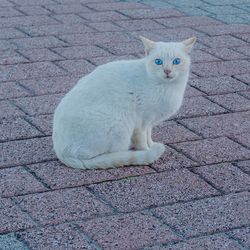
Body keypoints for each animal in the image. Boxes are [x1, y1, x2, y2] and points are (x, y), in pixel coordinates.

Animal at [52, 36, 196, 170]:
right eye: (158, 62)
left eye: (176, 61)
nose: (167, 71)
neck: (168, 88)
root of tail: (60, 152)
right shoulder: (141, 122)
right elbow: (143, 142)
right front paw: (147, 151)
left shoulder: (149, 121)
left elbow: (149, 136)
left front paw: (152, 145)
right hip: (120, 125)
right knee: (101, 156)